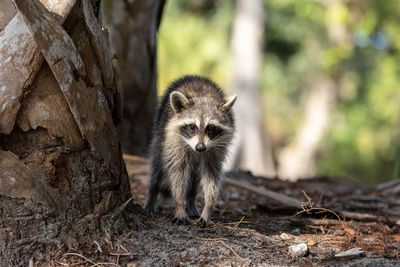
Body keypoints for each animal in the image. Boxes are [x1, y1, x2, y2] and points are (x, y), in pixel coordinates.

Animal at [145, 75, 236, 228]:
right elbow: (177, 173)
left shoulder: (215, 149)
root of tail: (195, 76)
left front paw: (208, 207)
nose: (200, 148)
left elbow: (211, 176)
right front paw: (179, 204)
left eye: (211, 128)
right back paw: (152, 195)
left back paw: (191, 200)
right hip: (160, 132)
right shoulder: (174, 143)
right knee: (157, 167)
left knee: (194, 180)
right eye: (192, 127)